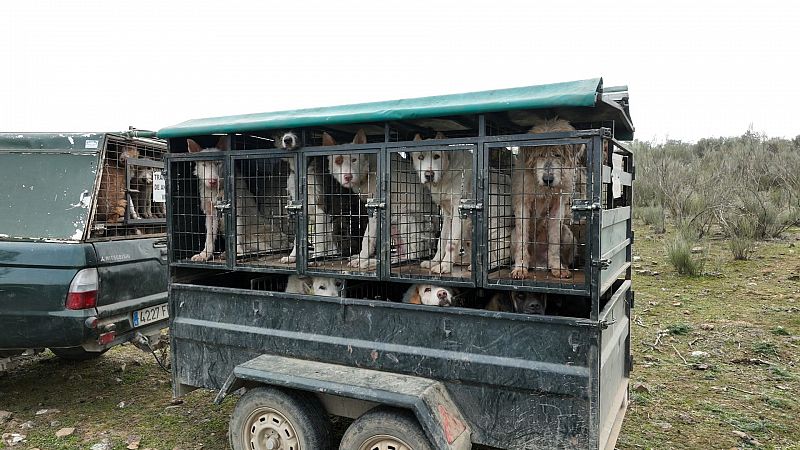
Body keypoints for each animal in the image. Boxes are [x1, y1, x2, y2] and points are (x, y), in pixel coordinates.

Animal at [276, 131, 340, 264]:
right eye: (283, 132)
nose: (287, 140)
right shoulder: (299, 209)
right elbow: (298, 238)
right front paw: (293, 257)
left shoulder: (320, 209)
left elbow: (319, 238)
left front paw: (317, 257)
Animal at [326, 130, 434, 270]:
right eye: (338, 161)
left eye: (354, 159)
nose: (348, 177)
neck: (368, 170)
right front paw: (360, 257)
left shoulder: (375, 209)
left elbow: (367, 238)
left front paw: (362, 259)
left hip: (407, 218)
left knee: (413, 255)